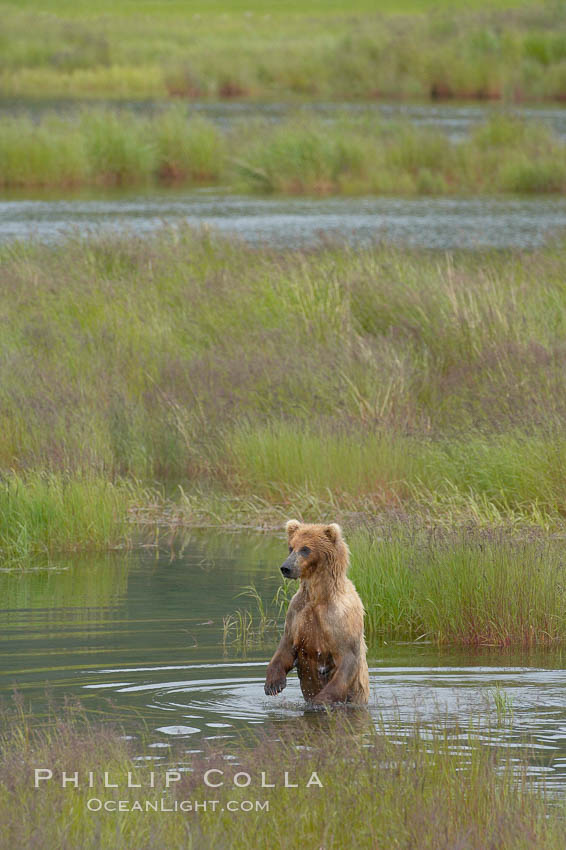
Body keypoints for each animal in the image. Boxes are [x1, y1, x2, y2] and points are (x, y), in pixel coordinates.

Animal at [266, 516, 370, 704]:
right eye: (291, 547)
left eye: (305, 549)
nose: (286, 567)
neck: (317, 596)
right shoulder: (296, 612)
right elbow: (286, 646)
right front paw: (273, 684)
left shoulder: (339, 617)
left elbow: (347, 658)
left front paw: (319, 701)